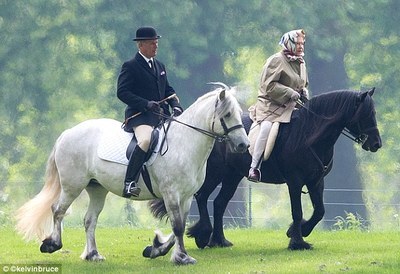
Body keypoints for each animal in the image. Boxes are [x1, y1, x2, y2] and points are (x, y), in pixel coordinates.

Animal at [15, 85, 248, 266]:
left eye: (238, 114)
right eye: (227, 115)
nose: (243, 145)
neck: (184, 143)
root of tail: (67, 133)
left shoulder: (187, 196)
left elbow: (178, 227)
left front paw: (156, 249)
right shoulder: (171, 193)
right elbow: (178, 226)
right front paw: (181, 258)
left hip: (97, 188)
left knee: (89, 220)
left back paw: (93, 254)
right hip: (73, 185)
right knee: (58, 210)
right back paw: (52, 244)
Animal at [188, 89, 382, 250]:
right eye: (366, 114)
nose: (376, 144)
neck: (308, 134)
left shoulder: (316, 181)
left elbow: (319, 211)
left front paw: (300, 231)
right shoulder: (294, 182)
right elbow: (297, 211)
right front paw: (297, 242)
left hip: (232, 176)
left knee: (219, 203)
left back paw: (219, 241)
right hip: (215, 173)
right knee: (202, 196)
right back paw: (203, 235)